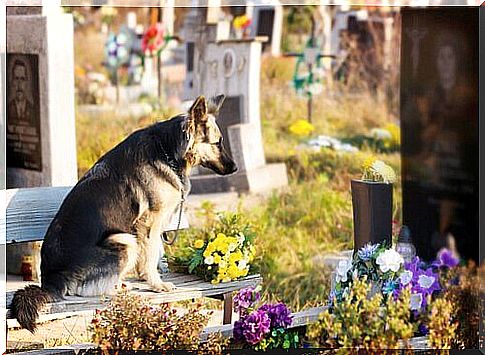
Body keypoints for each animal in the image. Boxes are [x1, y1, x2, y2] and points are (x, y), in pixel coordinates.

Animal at [11, 93, 238, 332]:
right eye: (218, 143)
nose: (235, 168)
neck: (167, 150)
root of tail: (50, 281)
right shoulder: (150, 224)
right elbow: (150, 257)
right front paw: (156, 284)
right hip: (125, 240)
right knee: (84, 290)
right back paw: (116, 288)